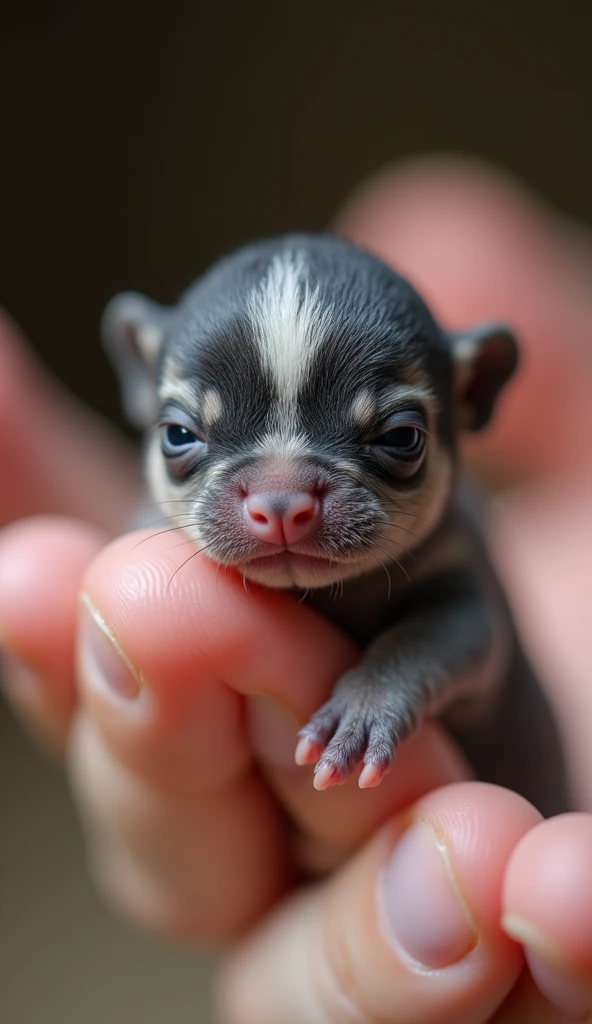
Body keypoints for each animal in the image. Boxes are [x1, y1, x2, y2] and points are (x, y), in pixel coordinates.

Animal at [101, 234, 565, 806]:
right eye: (178, 434)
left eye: (401, 438)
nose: (281, 501)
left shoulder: (467, 593)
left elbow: (431, 638)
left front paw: (364, 709)